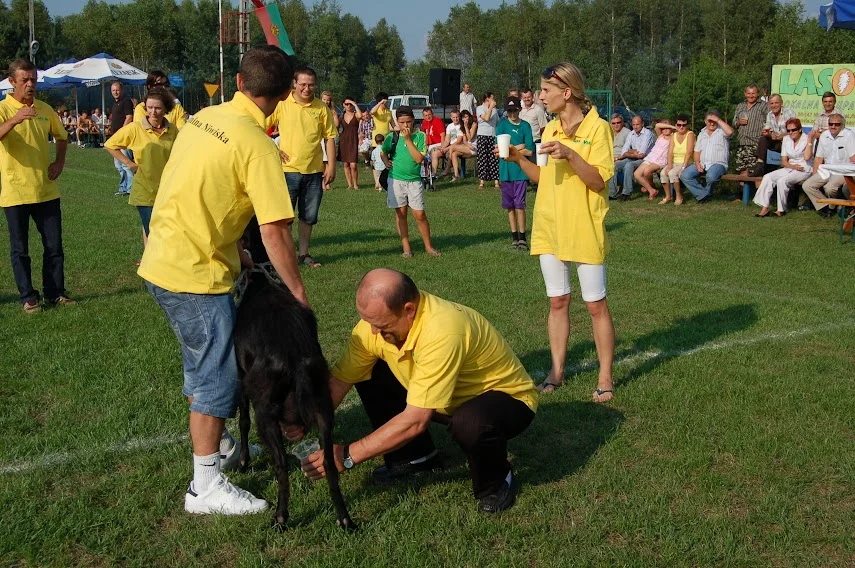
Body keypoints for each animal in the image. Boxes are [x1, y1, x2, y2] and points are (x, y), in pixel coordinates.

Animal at [232, 268, 356, 532]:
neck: (260, 284)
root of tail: (295, 356)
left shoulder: (239, 377)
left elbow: (243, 421)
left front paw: (244, 461)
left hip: (265, 414)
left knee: (281, 465)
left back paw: (280, 517)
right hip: (323, 408)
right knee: (329, 462)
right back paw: (344, 518)